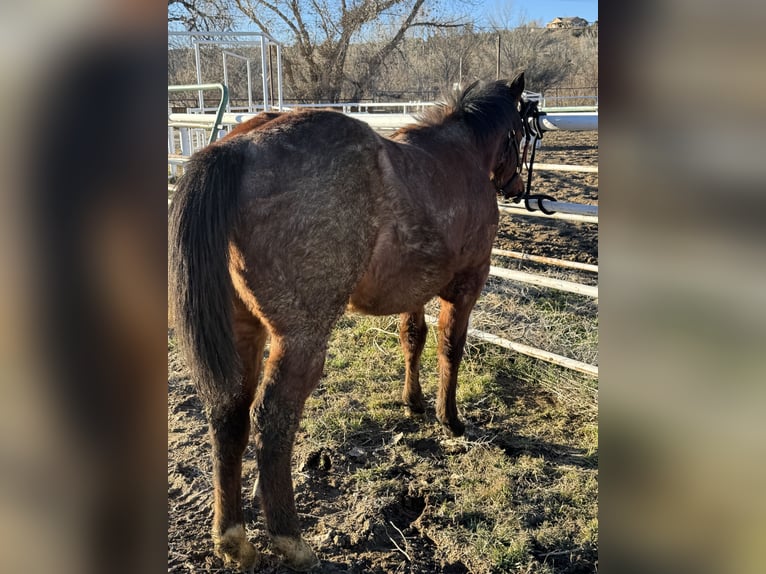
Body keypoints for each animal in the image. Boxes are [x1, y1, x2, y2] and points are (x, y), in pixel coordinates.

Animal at [168, 74, 527, 571]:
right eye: (524, 130)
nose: (518, 186)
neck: (461, 153)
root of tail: (237, 147)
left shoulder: (411, 292)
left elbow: (412, 338)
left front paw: (413, 402)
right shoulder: (468, 283)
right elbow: (450, 349)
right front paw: (449, 418)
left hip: (243, 333)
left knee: (229, 414)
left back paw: (234, 539)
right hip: (301, 341)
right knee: (272, 420)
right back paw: (290, 540)